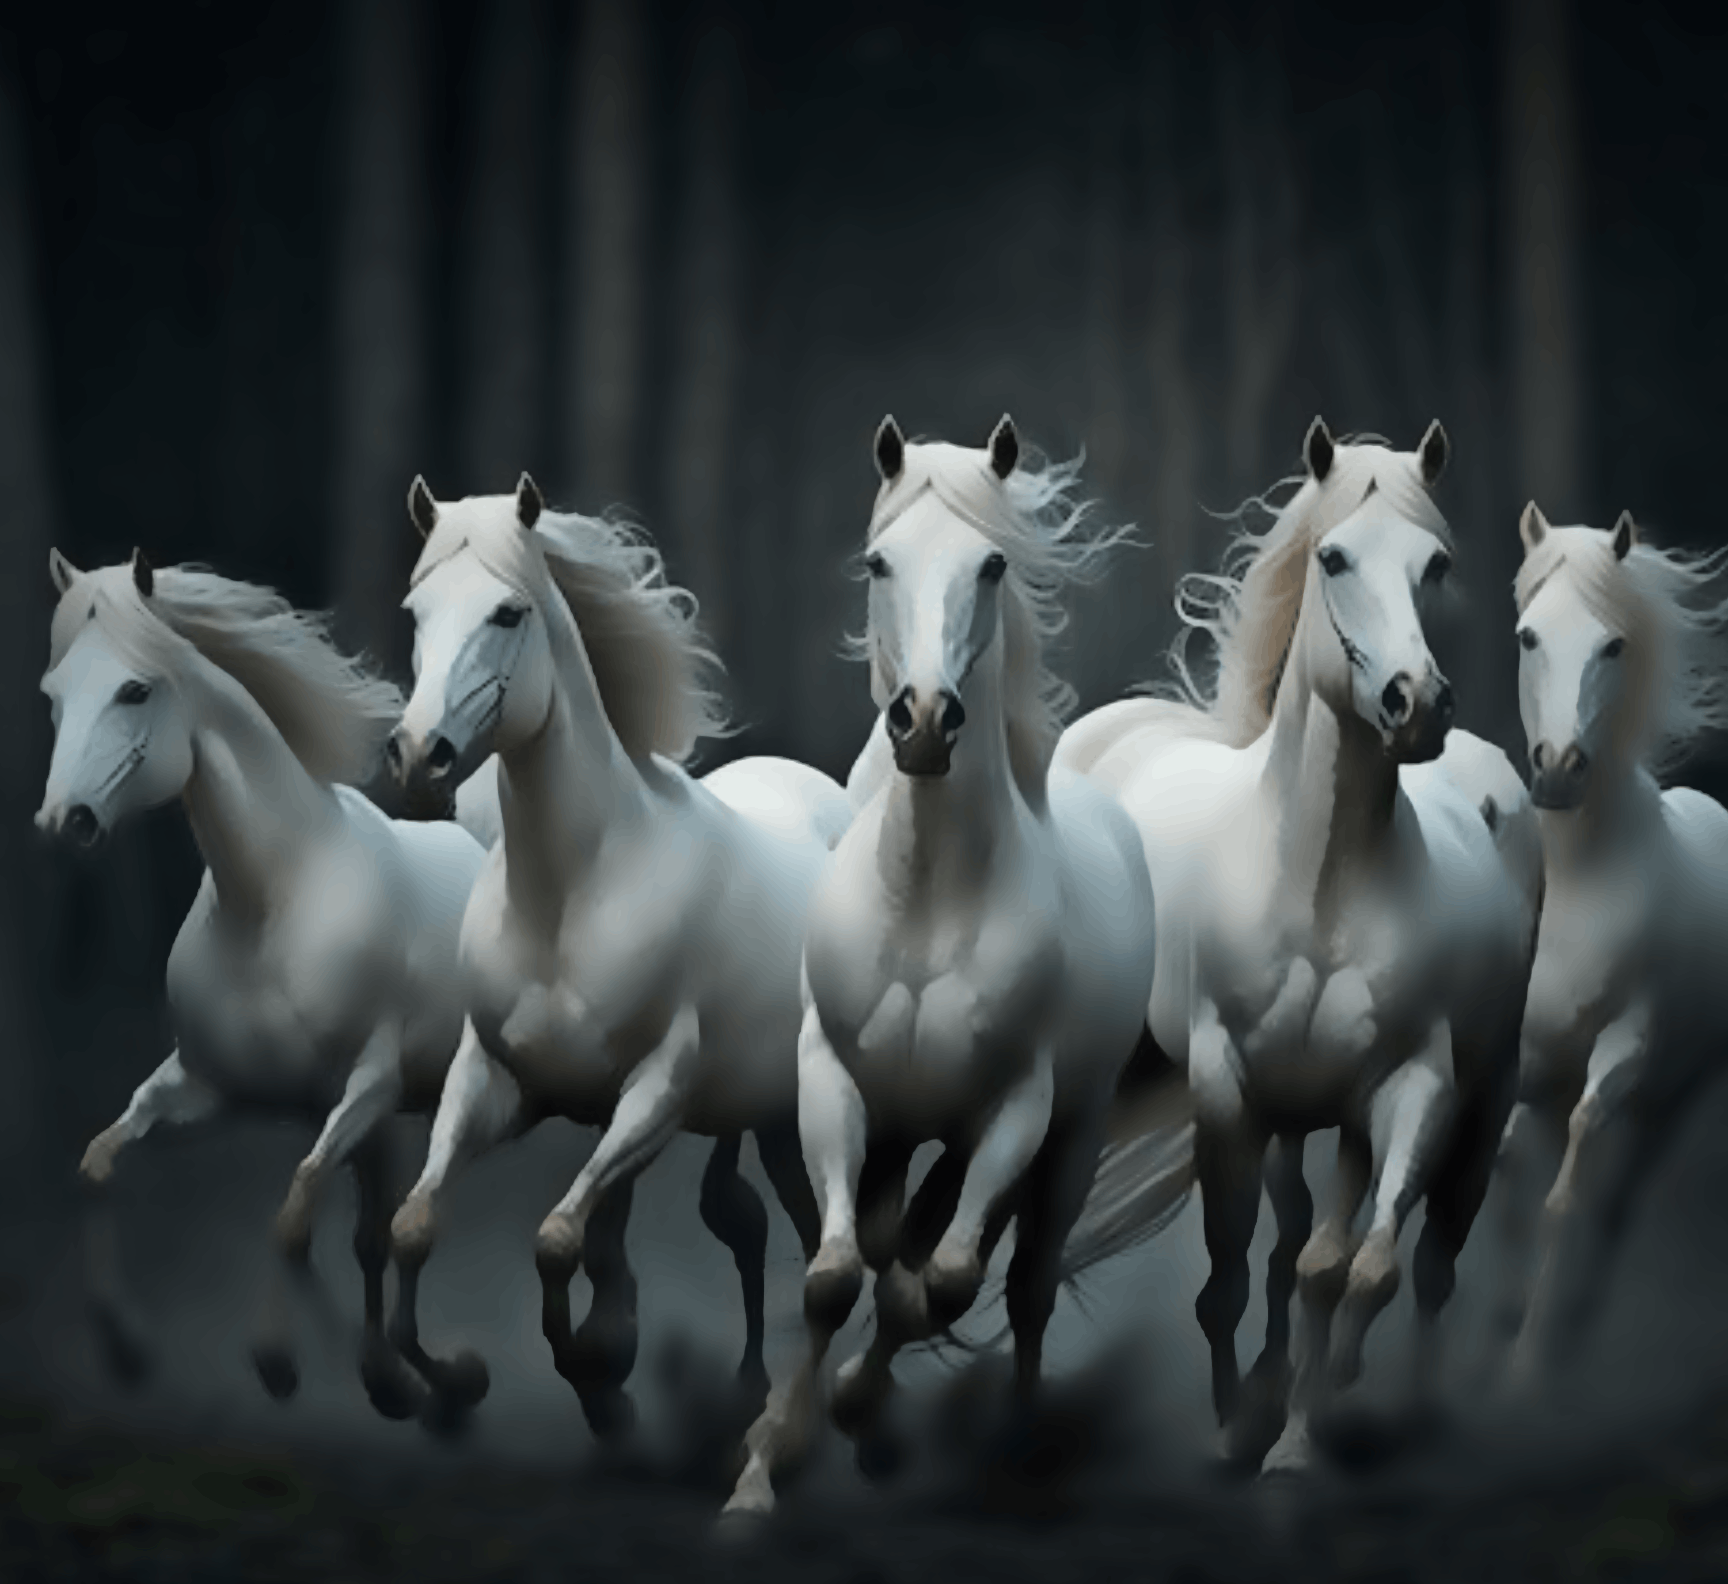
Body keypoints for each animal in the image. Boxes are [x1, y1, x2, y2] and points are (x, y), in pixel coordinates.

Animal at [35, 548, 487, 1419]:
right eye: (53, 694)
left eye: (135, 690)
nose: (62, 822)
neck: (275, 904)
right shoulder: (210, 1088)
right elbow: (99, 1164)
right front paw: (124, 1344)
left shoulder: (366, 1088)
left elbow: (294, 1214)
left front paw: (279, 1361)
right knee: (379, 1231)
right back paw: (409, 1375)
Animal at [384, 473, 849, 1438]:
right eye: (415, 612)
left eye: (508, 611)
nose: (417, 755)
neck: (572, 893)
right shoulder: (496, 1079)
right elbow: (415, 1227)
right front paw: (451, 1380)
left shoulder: (657, 1094)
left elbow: (557, 1241)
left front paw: (605, 1390)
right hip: (766, 1118)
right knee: (755, 1222)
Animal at [722, 415, 1196, 1520]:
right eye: (877, 561)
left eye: (991, 564)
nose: (926, 722)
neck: (931, 899)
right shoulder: (836, 1082)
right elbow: (835, 1274)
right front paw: (764, 1468)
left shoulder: (1015, 1108)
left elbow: (938, 1282)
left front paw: (856, 1412)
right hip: (906, 1130)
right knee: (894, 1244)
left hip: (1069, 1137)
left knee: (1019, 1283)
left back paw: (1010, 1447)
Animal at [1053, 419, 1543, 1474]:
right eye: (1334, 556)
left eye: (1436, 562)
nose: (1416, 702)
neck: (1317, 882)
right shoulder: (1228, 1089)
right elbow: (1233, 1276)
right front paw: (1235, 1427)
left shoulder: (1409, 1088)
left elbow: (1360, 1269)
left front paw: (1303, 1437)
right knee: (1282, 1249)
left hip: (1467, 1097)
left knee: (1424, 1256)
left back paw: (1397, 1400)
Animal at [1494, 504, 1728, 1383]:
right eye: (1528, 635)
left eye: (1614, 646)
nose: (1557, 771)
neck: (1576, 879)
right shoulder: (1518, 1060)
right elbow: (1504, 1183)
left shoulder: (1625, 1048)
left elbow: (1564, 1200)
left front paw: (1525, 1370)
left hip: (1676, 1090)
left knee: (1621, 1199)